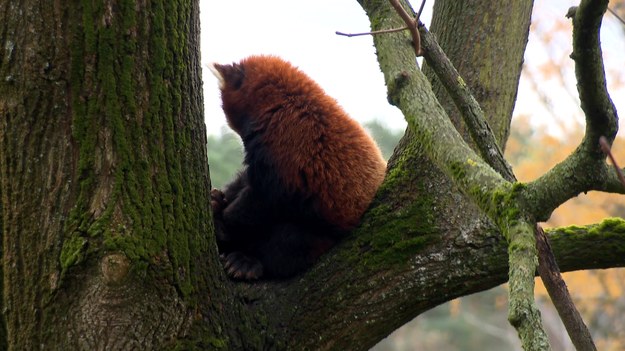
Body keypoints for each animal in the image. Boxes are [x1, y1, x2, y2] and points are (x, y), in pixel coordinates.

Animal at [210, 55, 386, 280]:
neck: (280, 103)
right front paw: (219, 204)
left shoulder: (286, 149)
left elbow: (261, 203)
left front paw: (225, 224)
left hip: (319, 232)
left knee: (287, 243)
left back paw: (246, 261)